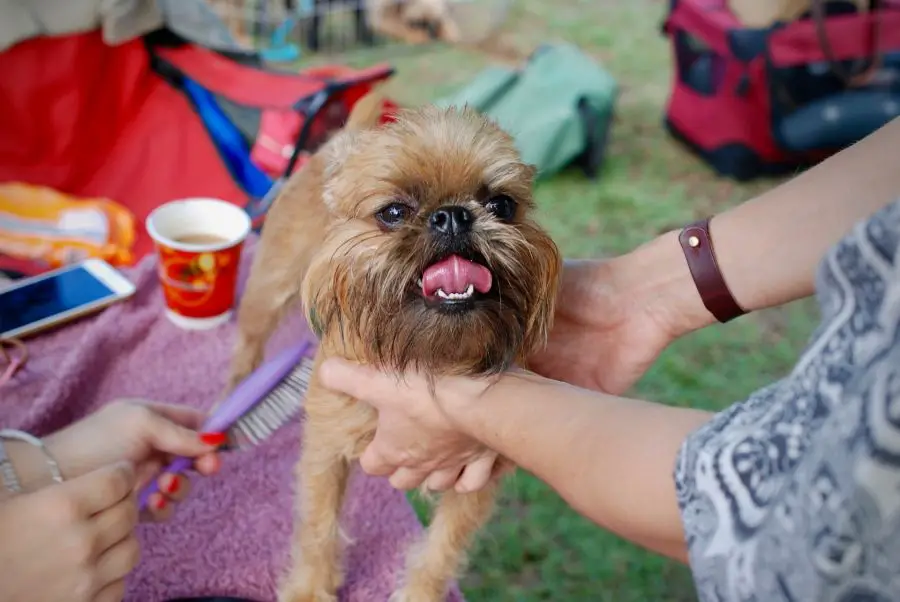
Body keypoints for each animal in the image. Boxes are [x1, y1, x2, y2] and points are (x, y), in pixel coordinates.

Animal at [229, 95, 560, 600]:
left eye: (502, 205)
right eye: (393, 213)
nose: (453, 214)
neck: (425, 359)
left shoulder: (474, 478)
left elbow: (441, 551)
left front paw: (419, 594)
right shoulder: (326, 448)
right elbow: (318, 526)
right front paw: (310, 588)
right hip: (269, 288)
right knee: (247, 343)